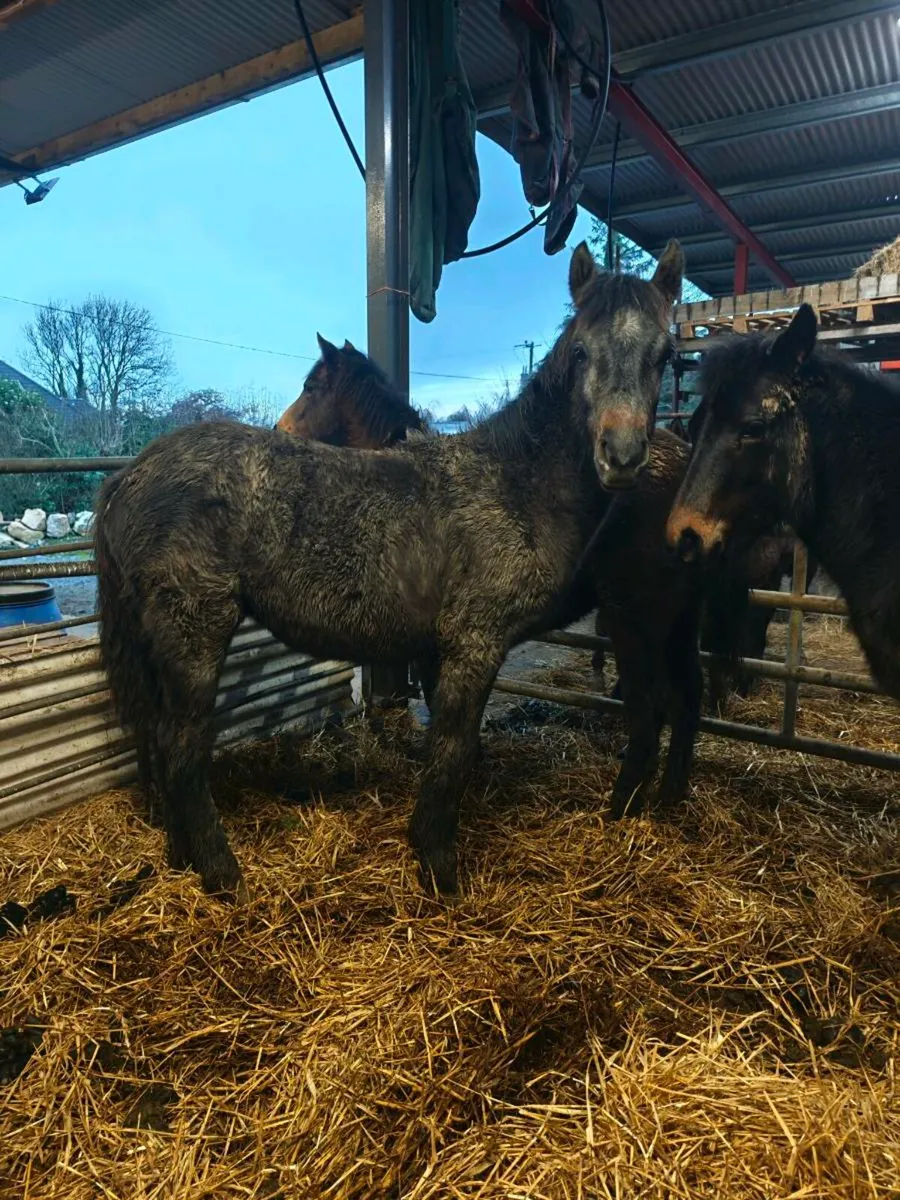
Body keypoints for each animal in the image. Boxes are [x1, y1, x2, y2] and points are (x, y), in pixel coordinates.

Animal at [93, 238, 686, 900]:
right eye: (581, 350)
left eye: (664, 355)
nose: (621, 456)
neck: (514, 481)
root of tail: (128, 477)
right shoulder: (473, 644)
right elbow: (452, 749)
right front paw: (439, 866)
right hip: (194, 634)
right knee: (180, 749)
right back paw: (222, 874)